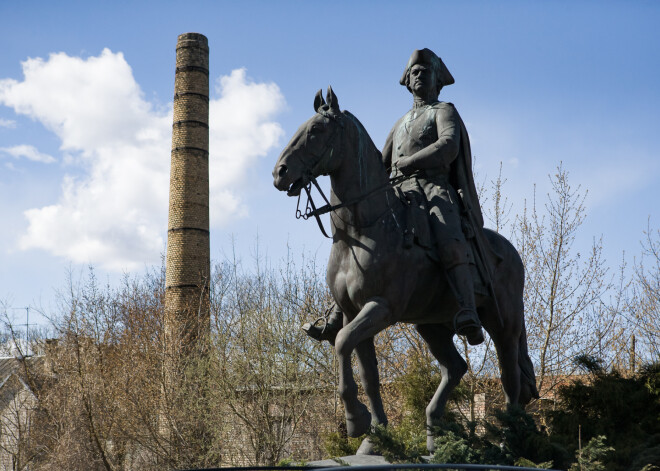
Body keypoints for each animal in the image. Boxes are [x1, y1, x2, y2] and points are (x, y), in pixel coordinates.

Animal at [272, 87, 536, 454]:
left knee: (510, 379)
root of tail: (510, 252)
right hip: (432, 325)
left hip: (504, 325)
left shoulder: (382, 307)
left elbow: (341, 341)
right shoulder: (354, 311)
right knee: (455, 368)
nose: (280, 172)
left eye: (316, 130)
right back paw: (434, 436)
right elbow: (365, 372)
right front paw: (371, 437)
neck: (362, 230)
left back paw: (508, 447)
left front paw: (356, 419)